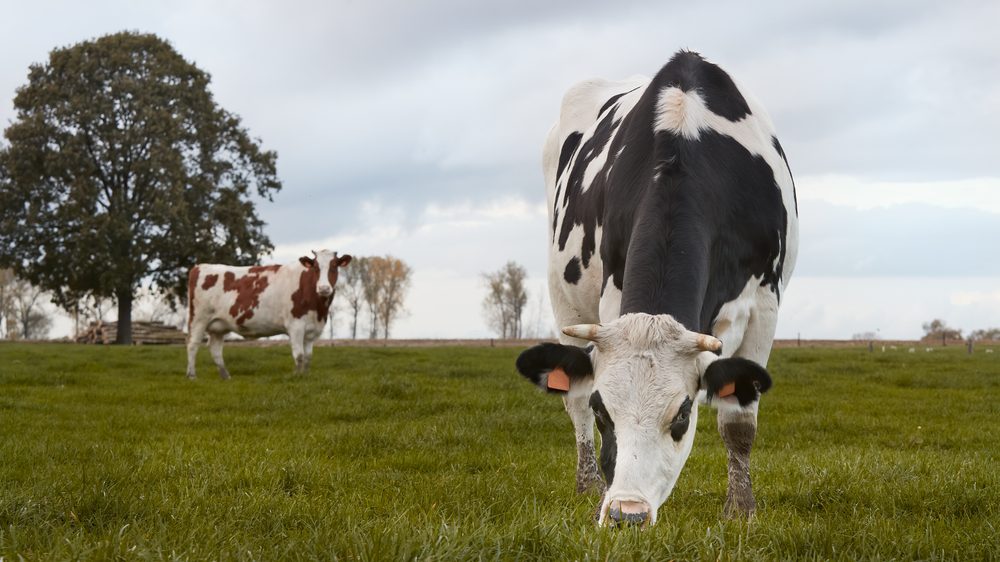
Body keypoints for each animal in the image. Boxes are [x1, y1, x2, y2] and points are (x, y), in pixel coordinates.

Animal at [186, 248, 354, 376]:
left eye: (334, 266)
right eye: (316, 267)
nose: (324, 288)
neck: (318, 309)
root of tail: (199, 266)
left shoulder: (312, 330)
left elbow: (308, 357)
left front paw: (305, 375)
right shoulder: (296, 326)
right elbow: (299, 355)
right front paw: (297, 376)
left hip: (219, 325)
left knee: (215, 349)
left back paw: (225, 376)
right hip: (198, 319)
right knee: (193, 344)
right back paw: (192, 375)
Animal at [516, 49, 796, 524]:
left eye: (681, 415)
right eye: (604, 411)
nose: (627, 513)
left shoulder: (764, 305)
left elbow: (739, 423)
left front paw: (740, 511)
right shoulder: (612, 296)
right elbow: (584, 402)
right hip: (563, 296)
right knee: (571, 397)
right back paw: (588, 485)